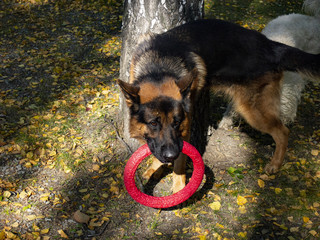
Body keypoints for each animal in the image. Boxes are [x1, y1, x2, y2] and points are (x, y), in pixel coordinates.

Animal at [118, 18, 320, 193]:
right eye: (153, 123)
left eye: (177, 122)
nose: (170, 154)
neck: (159, 67)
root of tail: (270, 46)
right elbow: (157, 146)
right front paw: (156, 167)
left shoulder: (185, 127)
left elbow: (180, 161)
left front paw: (179, 188)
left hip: (253, 111)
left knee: (283, 132)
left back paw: (275, 164)